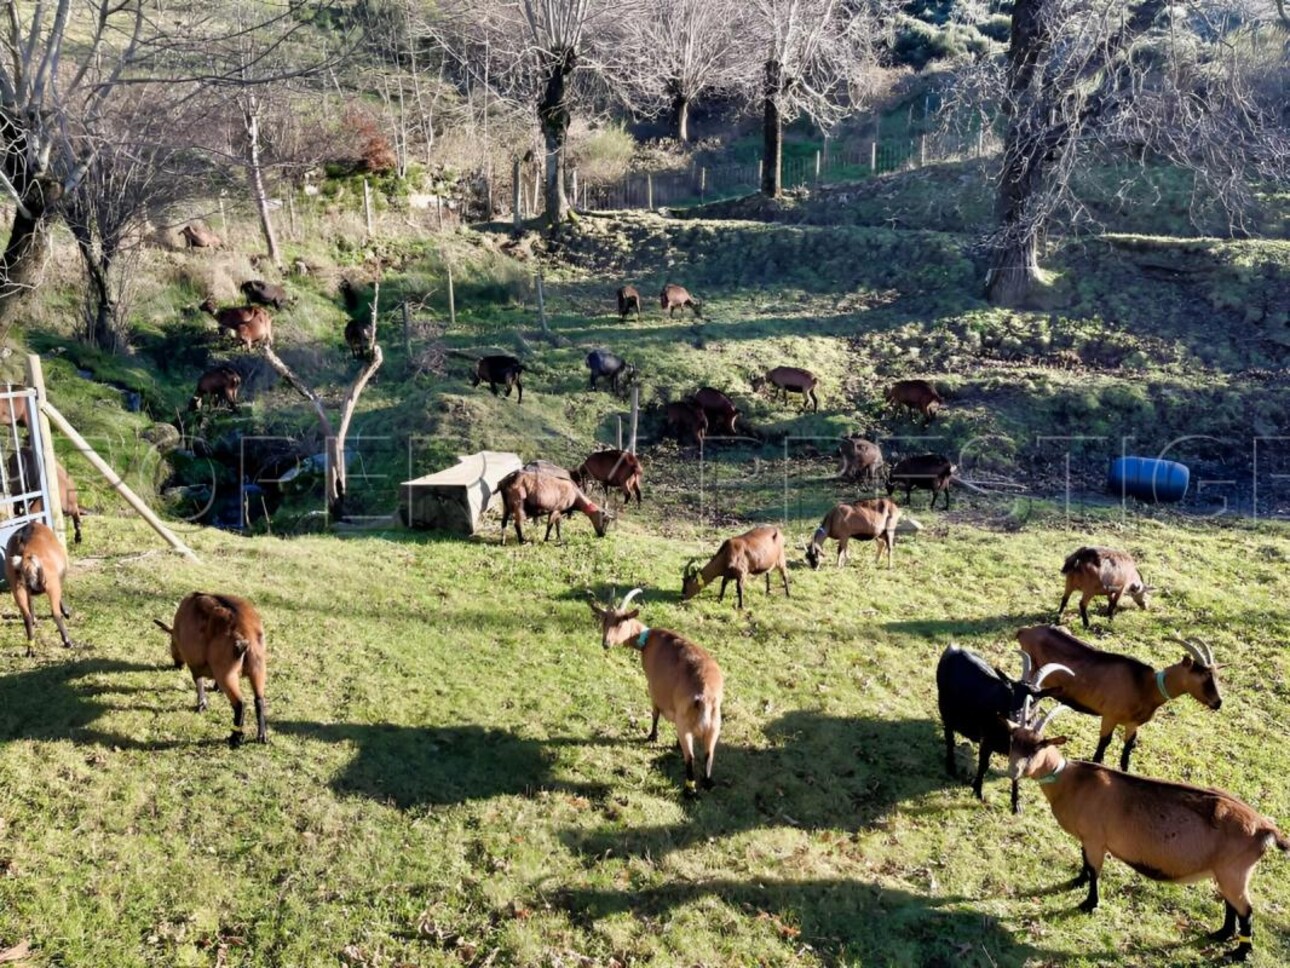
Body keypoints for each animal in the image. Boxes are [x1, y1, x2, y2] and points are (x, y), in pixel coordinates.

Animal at [4, 524, 72, 660]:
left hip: (17, 589)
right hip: (51, 586)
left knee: (26, 617)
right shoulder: (56, 582)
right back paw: (67, 641)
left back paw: (30, 650)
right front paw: (67, 612)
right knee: (55, 613)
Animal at [588, 588, 722, 800]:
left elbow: (655, 712)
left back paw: (688, 791)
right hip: (715, 726)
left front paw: (652, 736)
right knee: (709, 757)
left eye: (621, 621)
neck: (648, 640)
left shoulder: (654, 686)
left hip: (686, 723)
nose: (606, 643)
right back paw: (706, 784)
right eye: (604, 620)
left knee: (690, 757)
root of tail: (705, 697)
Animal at [933, 647, 1073, 815]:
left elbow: (1017, 773)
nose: (1016, 714)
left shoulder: (1019, 752)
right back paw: (951, 768)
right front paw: (978, 792)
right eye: (1013, 691)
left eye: (1035, 699)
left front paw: (1016, 805)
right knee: (949, 738)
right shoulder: (987, 739)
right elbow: (983, 765)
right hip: (945, 709)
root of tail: (954, 649)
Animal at [1016, 624, 1217, 779]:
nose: (1218, 703)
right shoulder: (1109, 716)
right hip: (1033, 673)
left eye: (1215, 674)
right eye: (1203, 676)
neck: (1145, 685)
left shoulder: (1132, 723)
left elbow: (1128, 748)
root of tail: (1025, 631)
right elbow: (1104, 743)